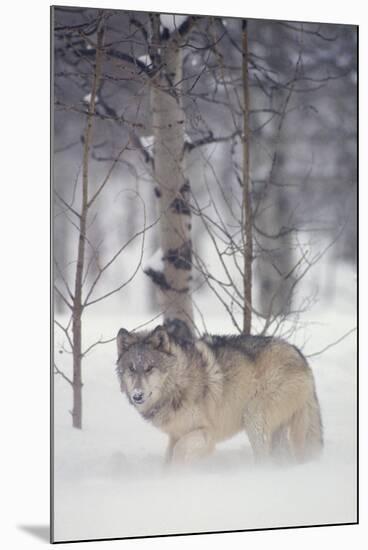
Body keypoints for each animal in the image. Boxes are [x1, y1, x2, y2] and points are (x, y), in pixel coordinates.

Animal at [115, 326, 322, 468]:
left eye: (149, 368)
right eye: (131, 369)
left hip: (254, 418)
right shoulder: (176, 434)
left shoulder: (206, 433)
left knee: (264, 457)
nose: (137, 395)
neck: (179, 381)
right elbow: (168, 457)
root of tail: (300, 356)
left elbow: (178, 452)